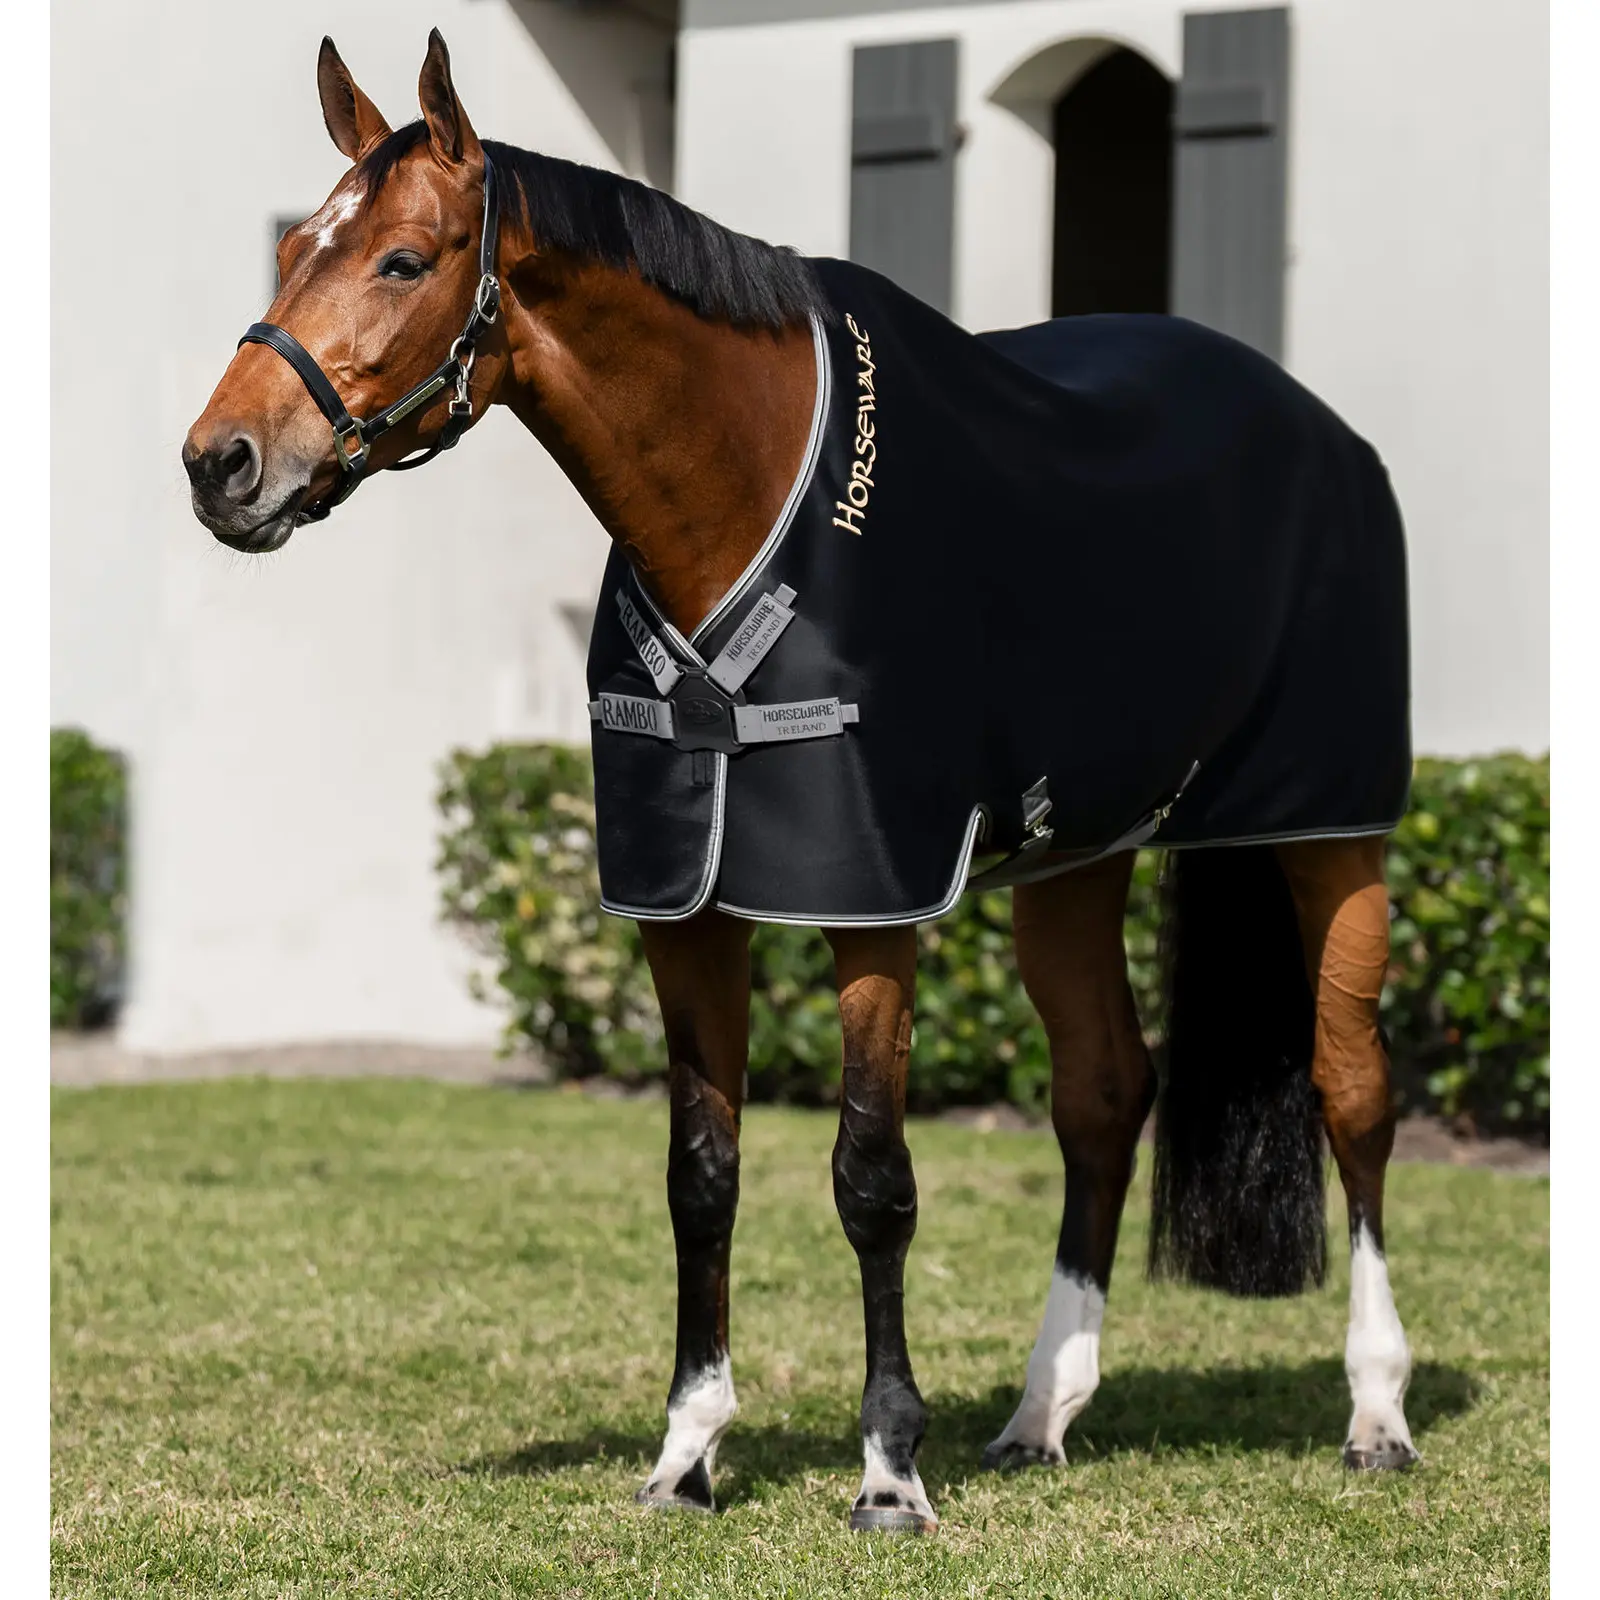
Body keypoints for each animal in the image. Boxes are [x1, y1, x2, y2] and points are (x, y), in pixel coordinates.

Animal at [184, 31, 1419, 1535]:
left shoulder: (871, 904)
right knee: (1101, 1094)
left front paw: (889, 1471)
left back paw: (1375, 1412)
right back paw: (1040, 1412)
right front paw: (686, 1453)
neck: (739, 492)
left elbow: (870, 1176)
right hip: (1074, 860)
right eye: (293, 243)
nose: (221, 464)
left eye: (406, 259)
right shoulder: (685, 912)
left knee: (1352, 1092)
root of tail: (1322, 428)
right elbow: (699, 1177)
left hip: (1332, 831)